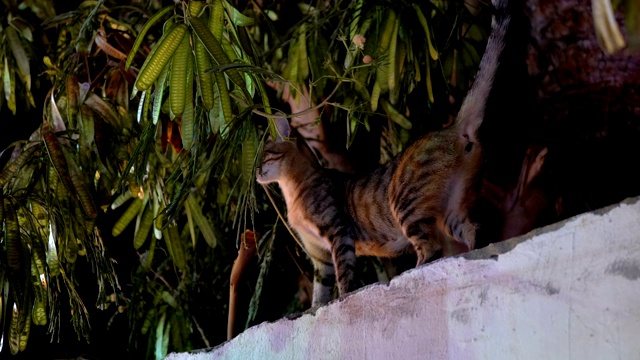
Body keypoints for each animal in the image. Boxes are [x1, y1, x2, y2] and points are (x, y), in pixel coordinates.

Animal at [255, 0, 510, 306]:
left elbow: (344, 278)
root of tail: (452, 128)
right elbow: (320, 291)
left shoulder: (337, 233)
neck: (292, 192)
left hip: (405, 203)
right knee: (474, 230)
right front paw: (316, 308)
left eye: (264, 155)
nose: (254, 172)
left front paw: (343, 300)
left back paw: (408, 276)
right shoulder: (317, 254)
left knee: (431, 247)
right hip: (453, 209)